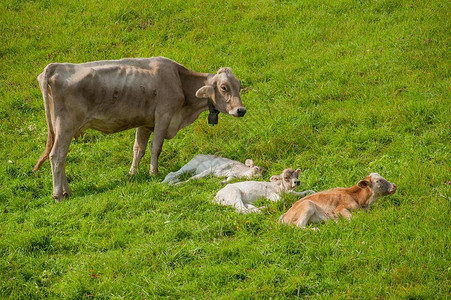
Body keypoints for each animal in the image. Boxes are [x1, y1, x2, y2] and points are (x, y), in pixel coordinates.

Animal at [33, 56, 247, 202]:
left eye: (238, 86)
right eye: (224, 87)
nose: (241, 110)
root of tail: (56, 66)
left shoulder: (145, 123)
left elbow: (139, 148)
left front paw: (133, 174)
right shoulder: (163, 116)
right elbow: (156, 148)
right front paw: (154, 173)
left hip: (62, 129)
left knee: (62, 158)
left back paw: (67, 191)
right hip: (65, 126)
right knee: (56, 156)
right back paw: (58, 195)